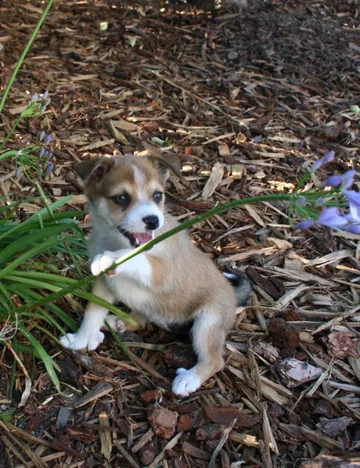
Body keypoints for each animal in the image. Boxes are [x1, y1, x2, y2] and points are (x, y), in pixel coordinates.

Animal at [60, 154, 252, 394]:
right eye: (121, 198)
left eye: (157, 195)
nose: (153, 220)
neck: (116, 241)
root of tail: (234, 296)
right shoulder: (104, 283)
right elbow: (92, 312)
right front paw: (81, 339)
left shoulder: (163, 271)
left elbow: (136, 257)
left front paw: (110, 257)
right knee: (141, 319)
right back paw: (117, 321)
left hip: (208, 322)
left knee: (215, 360)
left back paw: (189, 379)